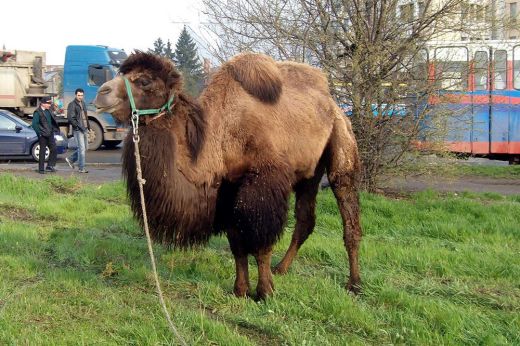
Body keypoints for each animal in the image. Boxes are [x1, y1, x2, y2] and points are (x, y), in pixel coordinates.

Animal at [93, 51, 362, 300]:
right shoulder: (227, 186)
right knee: (306, 219)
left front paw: (265, 292)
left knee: (347, 209)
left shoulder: (265, 181)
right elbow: (236, 244)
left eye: (145, 80)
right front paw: (240, 290)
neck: (221, 134)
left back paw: (354, 284)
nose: (101, 93)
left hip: (341, 141)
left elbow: (261, 242)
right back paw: (283, 268)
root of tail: (333, 104)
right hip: (309, 172)